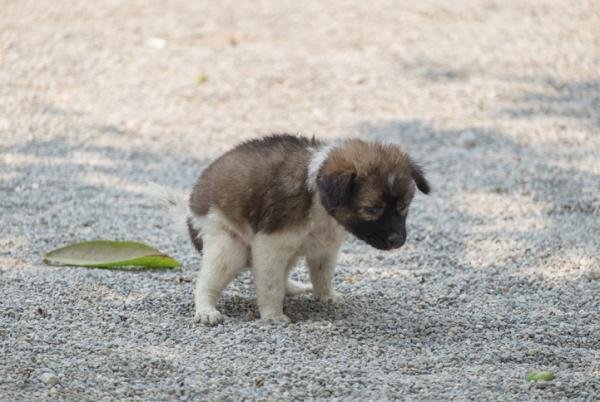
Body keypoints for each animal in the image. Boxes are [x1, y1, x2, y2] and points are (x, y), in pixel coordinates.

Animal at [156, 134, 426, 324]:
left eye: (403, 206)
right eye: (371, 209)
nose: (398, 240)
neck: (318, 199)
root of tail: (188, 216)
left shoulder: (326, 247)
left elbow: (322, 275)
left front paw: (327, 297)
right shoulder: (269, 245)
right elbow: (270, 285)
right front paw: (273, 316)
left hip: (292, 250)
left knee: (283, 274)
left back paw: (293, 288)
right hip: (227, 245)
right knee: (207, 282)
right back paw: (206, 310)